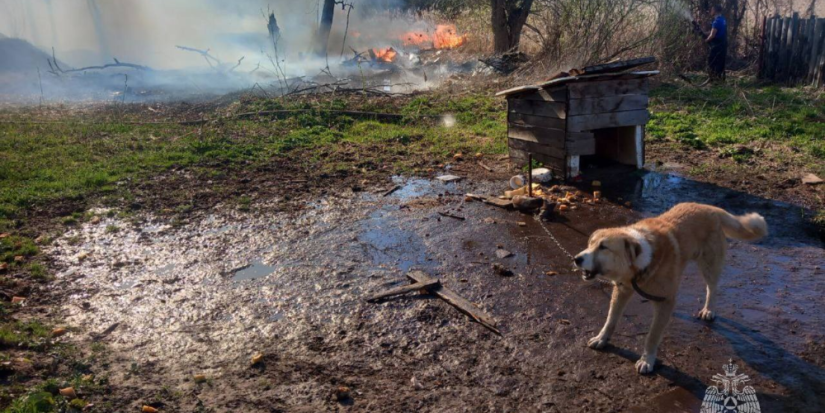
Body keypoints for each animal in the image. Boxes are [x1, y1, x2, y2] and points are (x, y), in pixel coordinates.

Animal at [572, 203, 768, 374]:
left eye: (603, 247)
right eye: (590, 244)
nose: (576, 258)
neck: (642, 261)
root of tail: (709, 207)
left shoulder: (665, 301)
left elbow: (652, 336)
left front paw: (647, 360)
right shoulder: (622, 291)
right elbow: (611, 319)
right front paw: (601, 339)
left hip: (709, 266)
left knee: (712, 288)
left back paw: (709, 309)